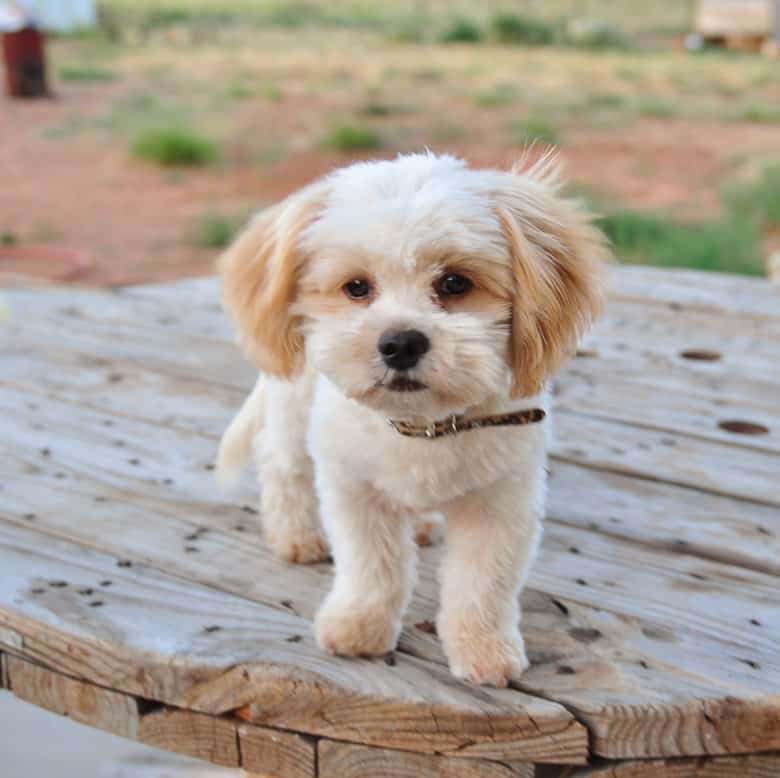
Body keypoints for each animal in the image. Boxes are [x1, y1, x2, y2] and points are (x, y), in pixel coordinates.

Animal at [215, 152, 608, 684]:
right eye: (356, 287)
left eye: (455, 282)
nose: (401, 342)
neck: (425, 427)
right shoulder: (354, 489)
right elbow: (371, 567)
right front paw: (360, 626)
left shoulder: (502, 503)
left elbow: (482, 583)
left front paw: (483, 647)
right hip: (293, 408)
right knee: (280, 463)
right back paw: (294, 535)